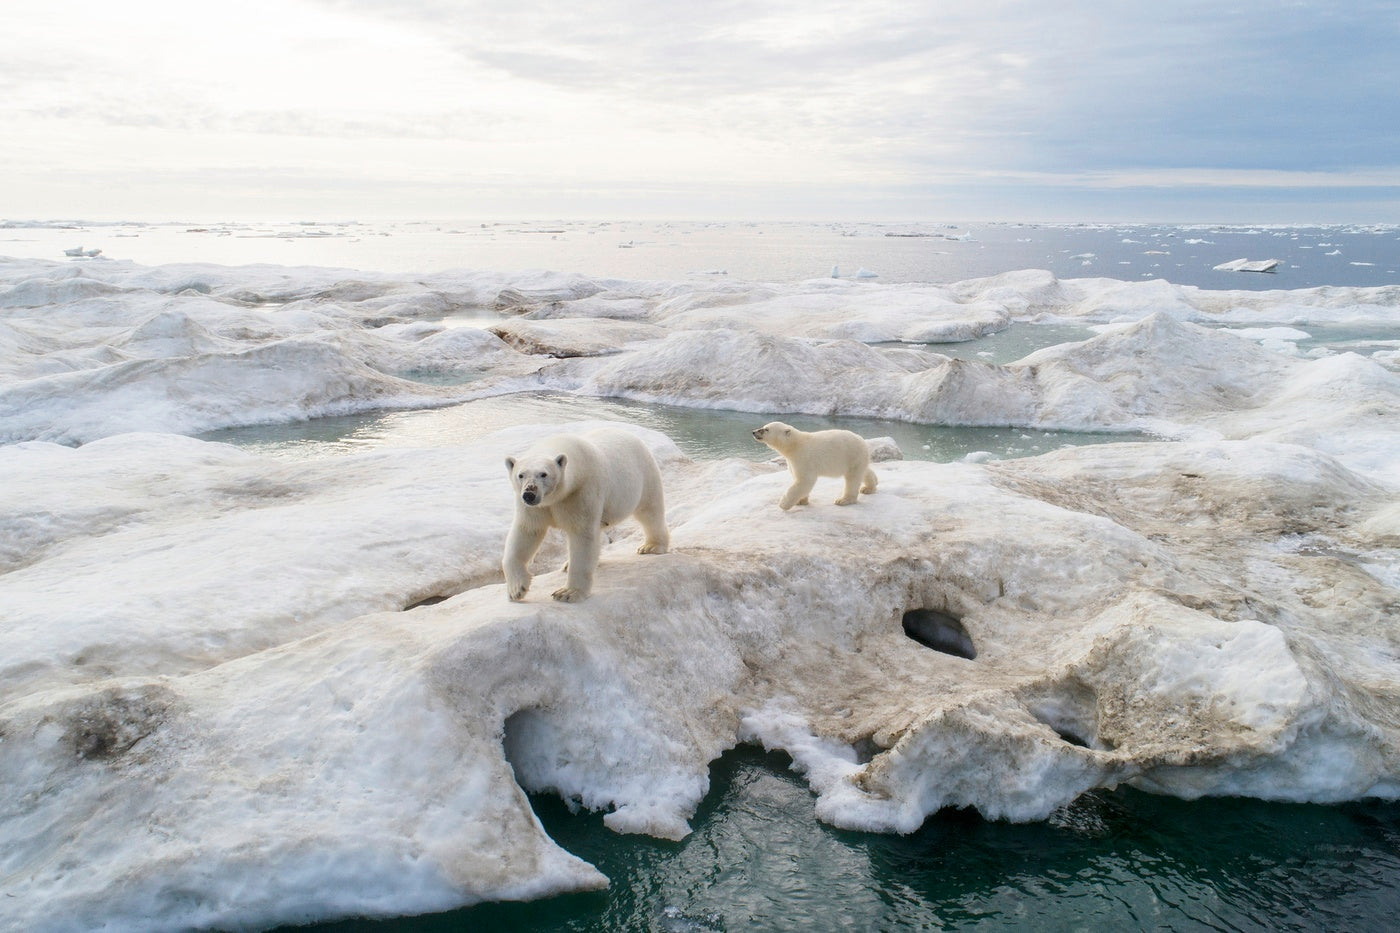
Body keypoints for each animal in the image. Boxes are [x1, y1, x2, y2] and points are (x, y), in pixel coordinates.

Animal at [506, 425, 669, 599]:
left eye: (544, 474)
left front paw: (568, 592)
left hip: (644, 476)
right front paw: (517, 589)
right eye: (521, 475)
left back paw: (652, 546)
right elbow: (527, 531)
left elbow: (582, 534)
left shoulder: (582, 491)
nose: (529, 494)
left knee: (650, 511)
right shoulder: (536, 507)